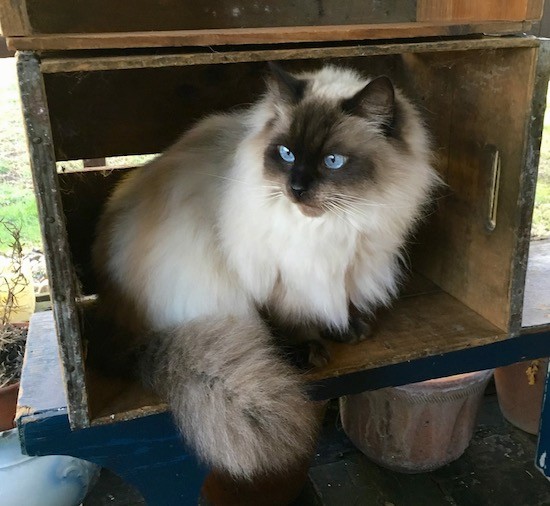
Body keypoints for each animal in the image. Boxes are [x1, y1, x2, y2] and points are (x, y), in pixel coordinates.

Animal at [94, 62, 440, 478]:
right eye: (287, 154)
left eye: (333, 161)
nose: (297, 188)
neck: (335, 225)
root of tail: (119, 329)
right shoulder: (277, 274)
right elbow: (291, 317)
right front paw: (308, 349)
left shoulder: (346, 265)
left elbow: (339, 302)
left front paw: (347, 330)